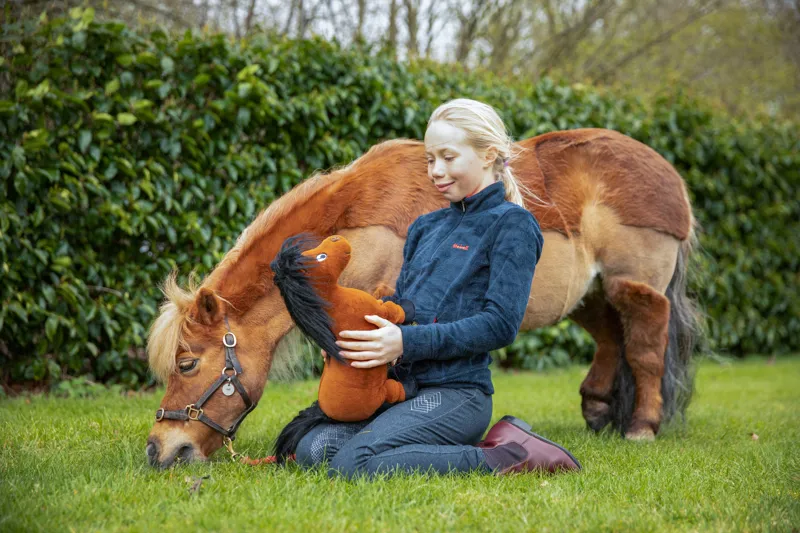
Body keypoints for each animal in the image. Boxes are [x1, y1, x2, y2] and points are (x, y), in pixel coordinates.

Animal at [145, 128, 699, 469]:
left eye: (187, 364)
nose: (159, 450)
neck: (358, 221)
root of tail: (672, 180)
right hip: (592, 296)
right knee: (610, 339)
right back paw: (598, 414)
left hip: (635, 287)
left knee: (645, 348)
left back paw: (641, 427)